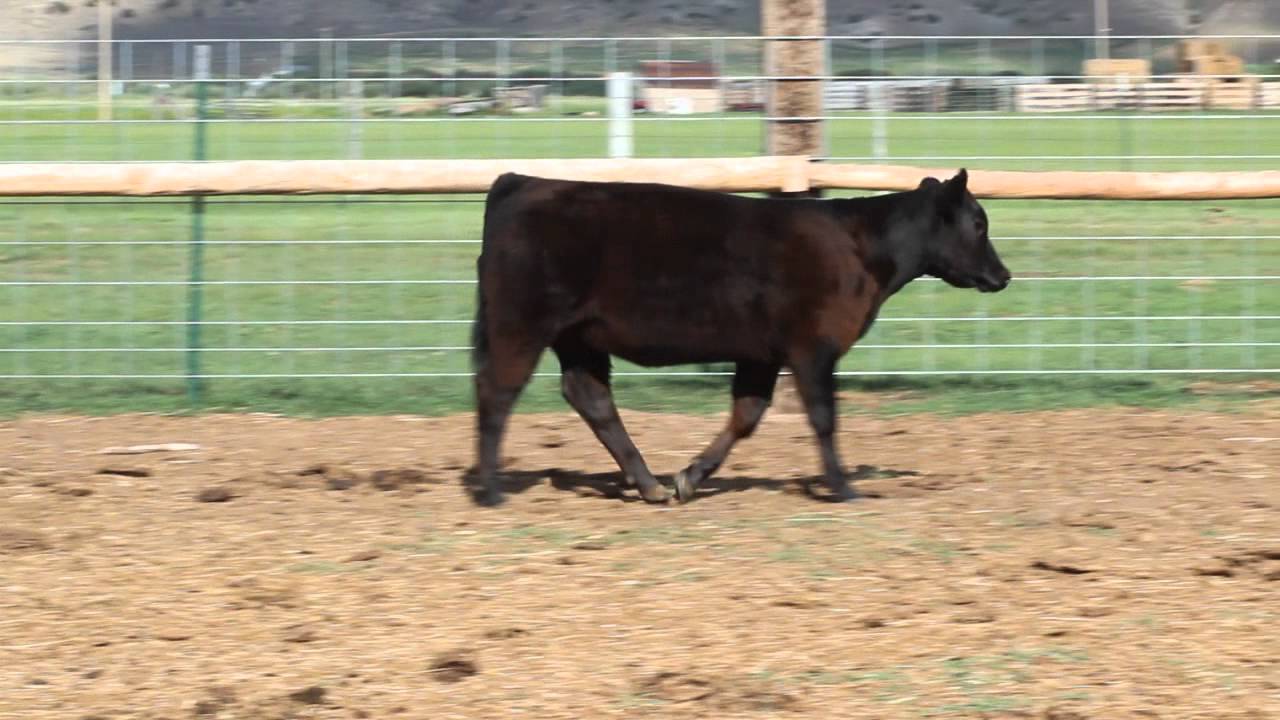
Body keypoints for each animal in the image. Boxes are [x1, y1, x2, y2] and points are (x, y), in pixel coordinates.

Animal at [469, 169, 1010, 507]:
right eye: (978, 223)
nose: (1003, 275)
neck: (861, 245)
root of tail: (524, 182)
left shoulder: (761, 354)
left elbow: (746, 416)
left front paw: (689, 477)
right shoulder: (813, 349)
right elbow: (824, 418)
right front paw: (843, 487)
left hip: (579, 338)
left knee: (591, 398)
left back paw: (649, 485)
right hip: (520, 325)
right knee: (497, 392)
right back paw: (491, 491)